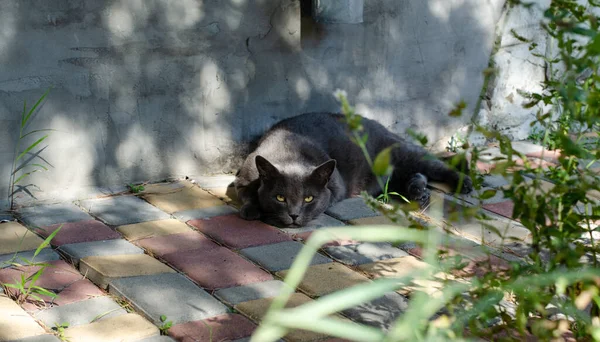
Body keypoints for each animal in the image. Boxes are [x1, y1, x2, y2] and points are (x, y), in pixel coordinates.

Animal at [236, 113, 474, 227]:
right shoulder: (243, 177)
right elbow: (247, 192)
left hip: (403, 153)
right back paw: (419, 192)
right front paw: (252, 209)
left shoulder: (336, 187)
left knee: (435, 165)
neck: (289, 153)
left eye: (309, 199)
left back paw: (464, 182)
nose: (294, 215)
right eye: (280, 198)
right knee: (414, 176)